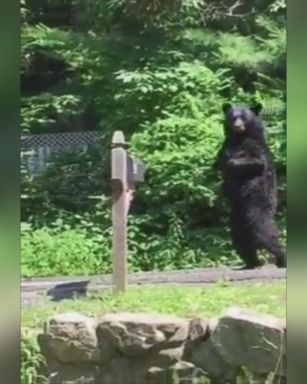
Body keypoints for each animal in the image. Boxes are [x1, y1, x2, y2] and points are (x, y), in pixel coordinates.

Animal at [215, 103, 288, 268]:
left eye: (244, 117)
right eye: (232, 117)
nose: (237, 126)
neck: (239, 138)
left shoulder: (253, 146)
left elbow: (256, 161)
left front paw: (231, 165)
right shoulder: (226, 146)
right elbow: (220, 162)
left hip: (256, 210)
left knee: (266, 235)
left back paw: (281, 259)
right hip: (236, 222)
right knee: (241, 243)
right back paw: (252, 263)